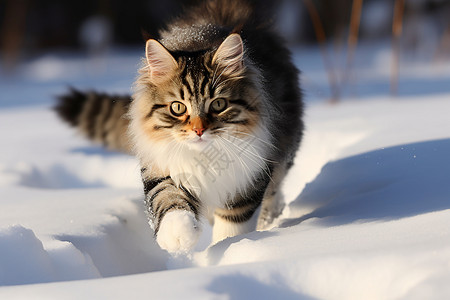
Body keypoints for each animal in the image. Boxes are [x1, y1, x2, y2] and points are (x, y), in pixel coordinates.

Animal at [55, 0, 302, 255]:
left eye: (218, 104)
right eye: (177, 107)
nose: (199, 130)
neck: (204, 159)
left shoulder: (249, 176)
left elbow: (233, 223)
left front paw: (226, 248)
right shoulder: (161, 167)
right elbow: (168, 198)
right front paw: (178, 236)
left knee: (275, 189)